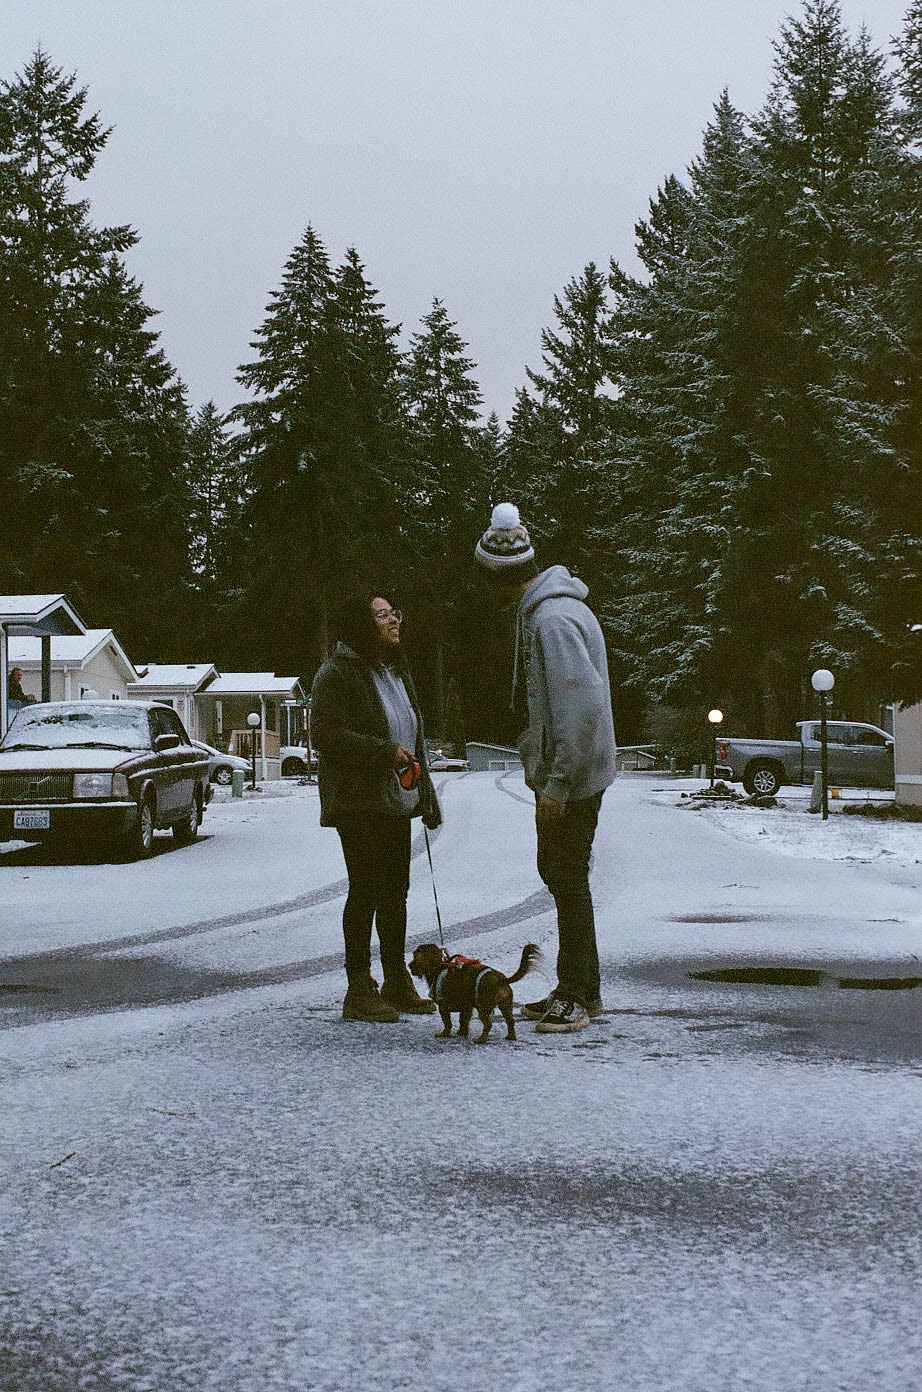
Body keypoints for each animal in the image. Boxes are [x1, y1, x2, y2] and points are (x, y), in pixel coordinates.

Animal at [409, 942, 541, 1043]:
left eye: (415, 957)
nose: (409, 966)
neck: (438, 967)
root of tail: (501, 979)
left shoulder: (443, 1006)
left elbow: (447, 1023)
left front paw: (445, 1033)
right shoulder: (466, 1007)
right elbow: (463, 1020)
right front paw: (462, 1032)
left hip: (483, 1008)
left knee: (488, 1024)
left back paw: (481, 1039)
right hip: (505, 1005)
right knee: (510, 1021)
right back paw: (511, 1036)